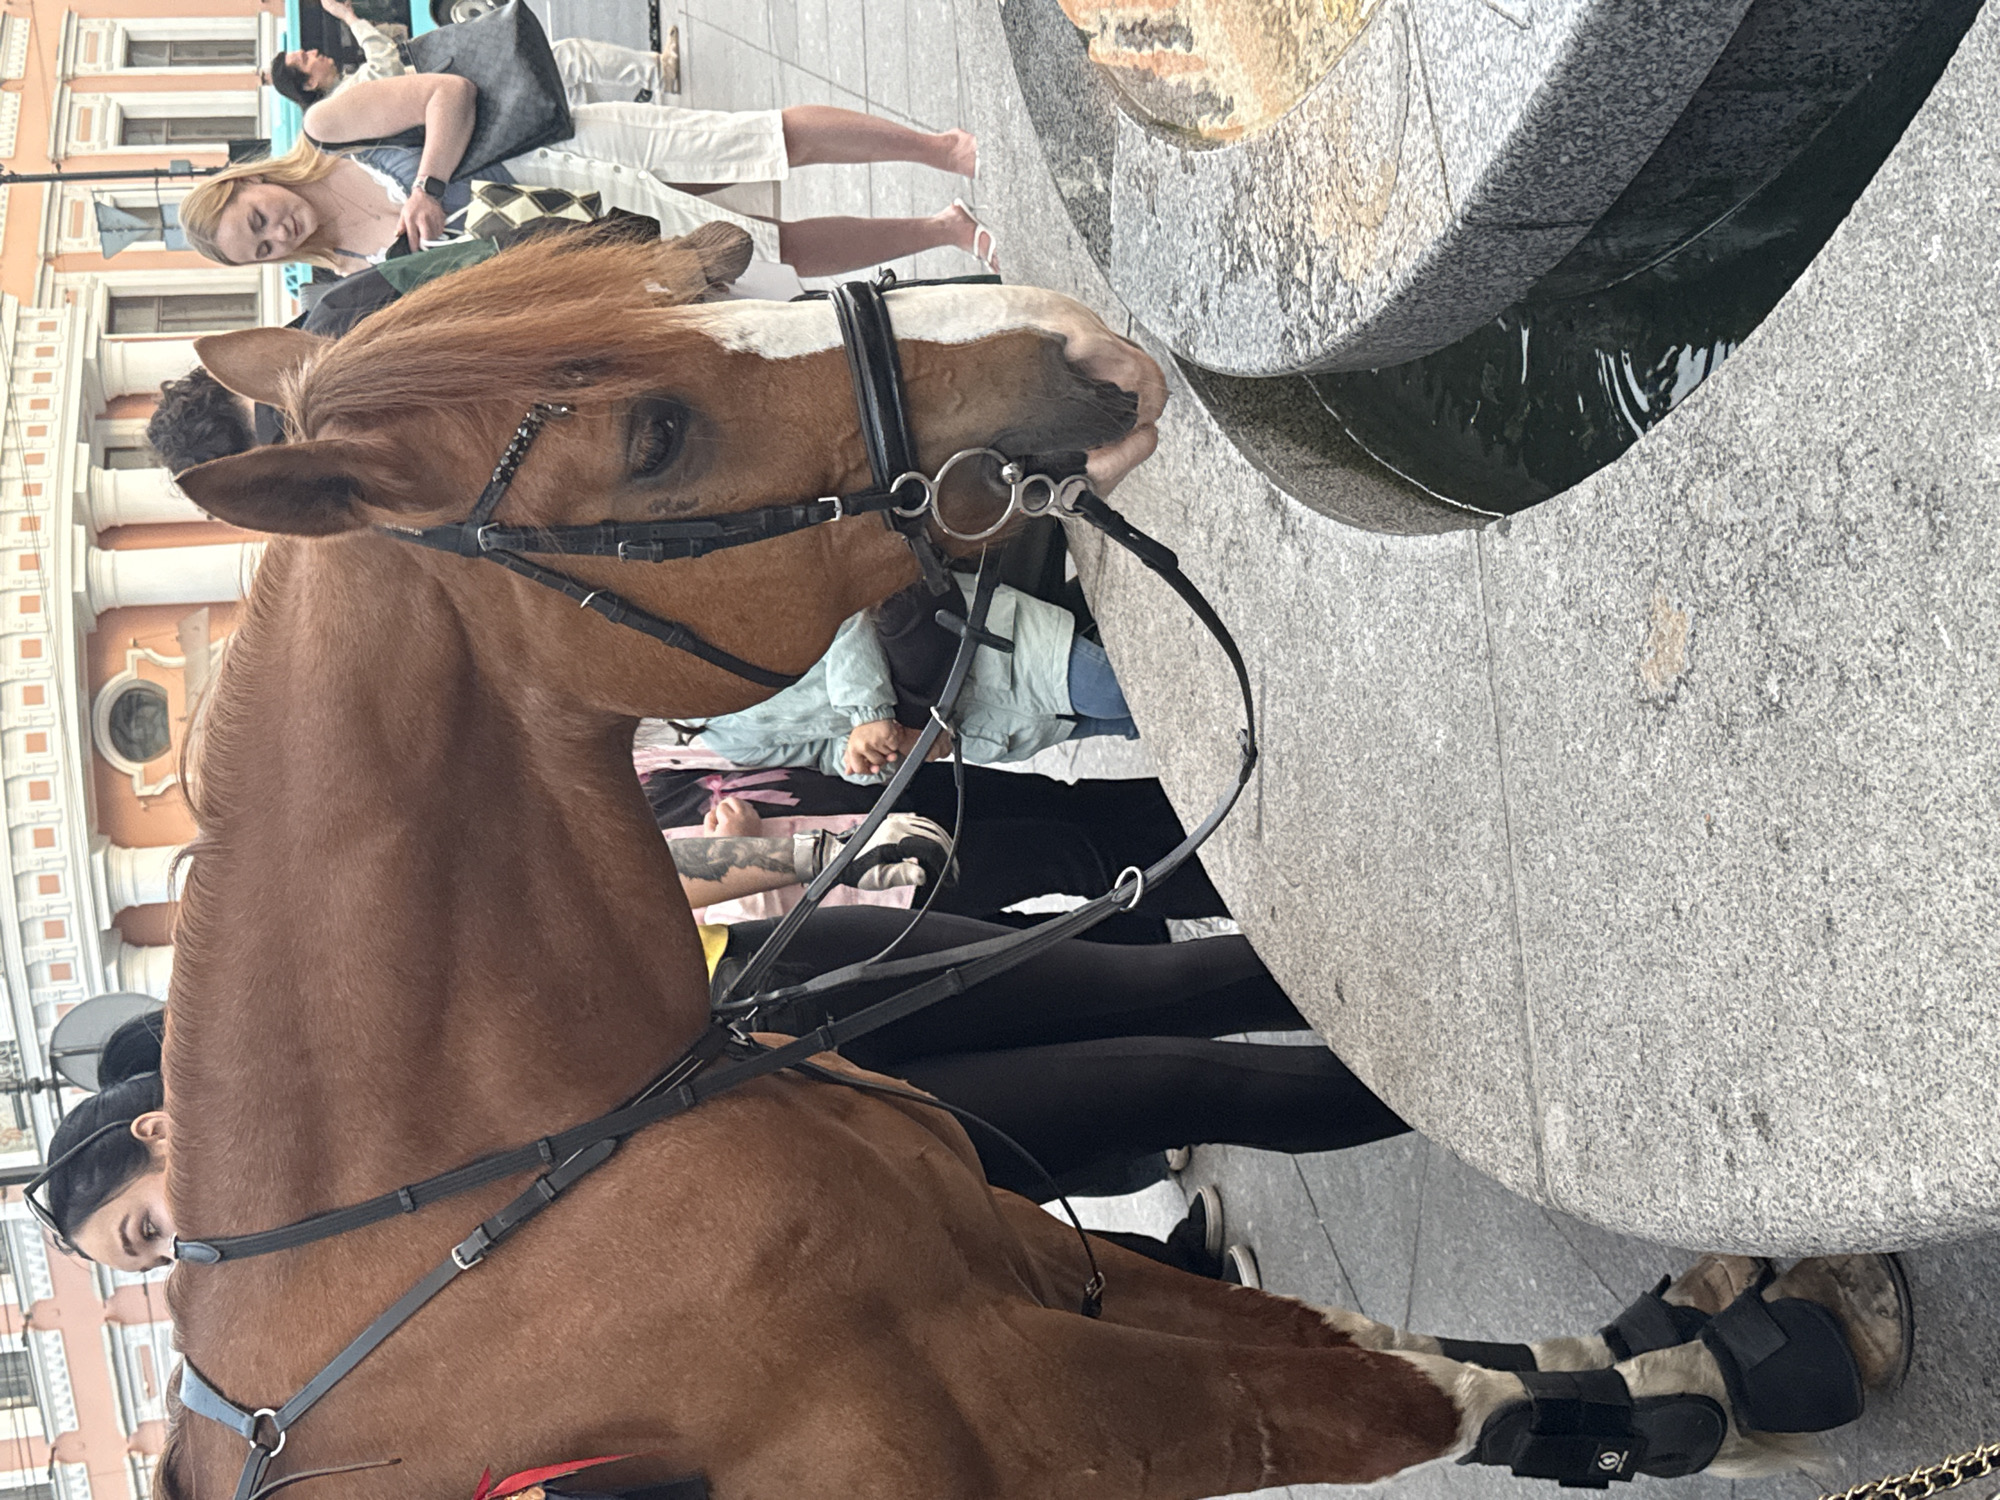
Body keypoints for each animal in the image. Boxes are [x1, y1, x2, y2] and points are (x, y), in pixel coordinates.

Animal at [160, 227, 1904, 1500]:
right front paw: (1709, 1388)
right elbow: (1399, 1400)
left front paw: (1684, 1373)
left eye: (685, 269)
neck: (509, 1199)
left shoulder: (1006, 1255)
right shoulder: (1034, 1402)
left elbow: (1363, 1346)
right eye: (656, 438)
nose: (1071, 346)